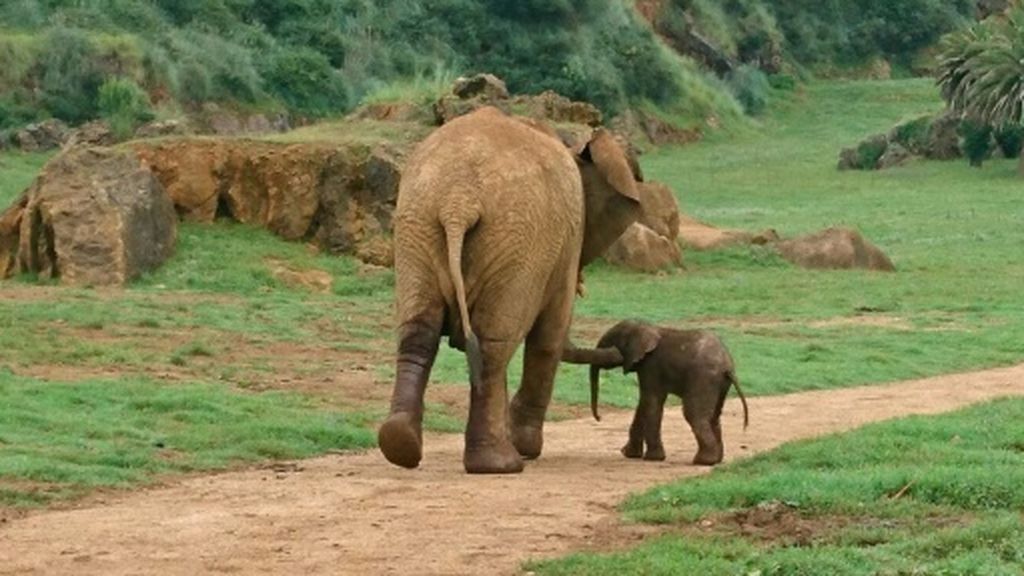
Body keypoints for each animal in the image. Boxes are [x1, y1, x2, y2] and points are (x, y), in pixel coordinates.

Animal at [380, 106, 638, 471]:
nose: (619, 354)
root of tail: (458, 202)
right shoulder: (565, 244)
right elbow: (549, 337)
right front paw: (526, 447)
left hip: (418, 226)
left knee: (420, 331)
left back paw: (401, 446)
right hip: (515, 241)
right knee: (493, 345)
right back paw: (501, 464)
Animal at [565, 319, 749, 463]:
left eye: (610, 342)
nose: (599, 418)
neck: (646, 327)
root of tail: (727, 366)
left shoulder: (651, 366)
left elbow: (651, 401)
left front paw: (652, 458)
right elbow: (643, 403)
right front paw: (629, 454)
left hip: (703, 377)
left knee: (694, 414)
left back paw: (703, 461)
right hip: (719, 383)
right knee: (714, 415)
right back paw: (716, 460)